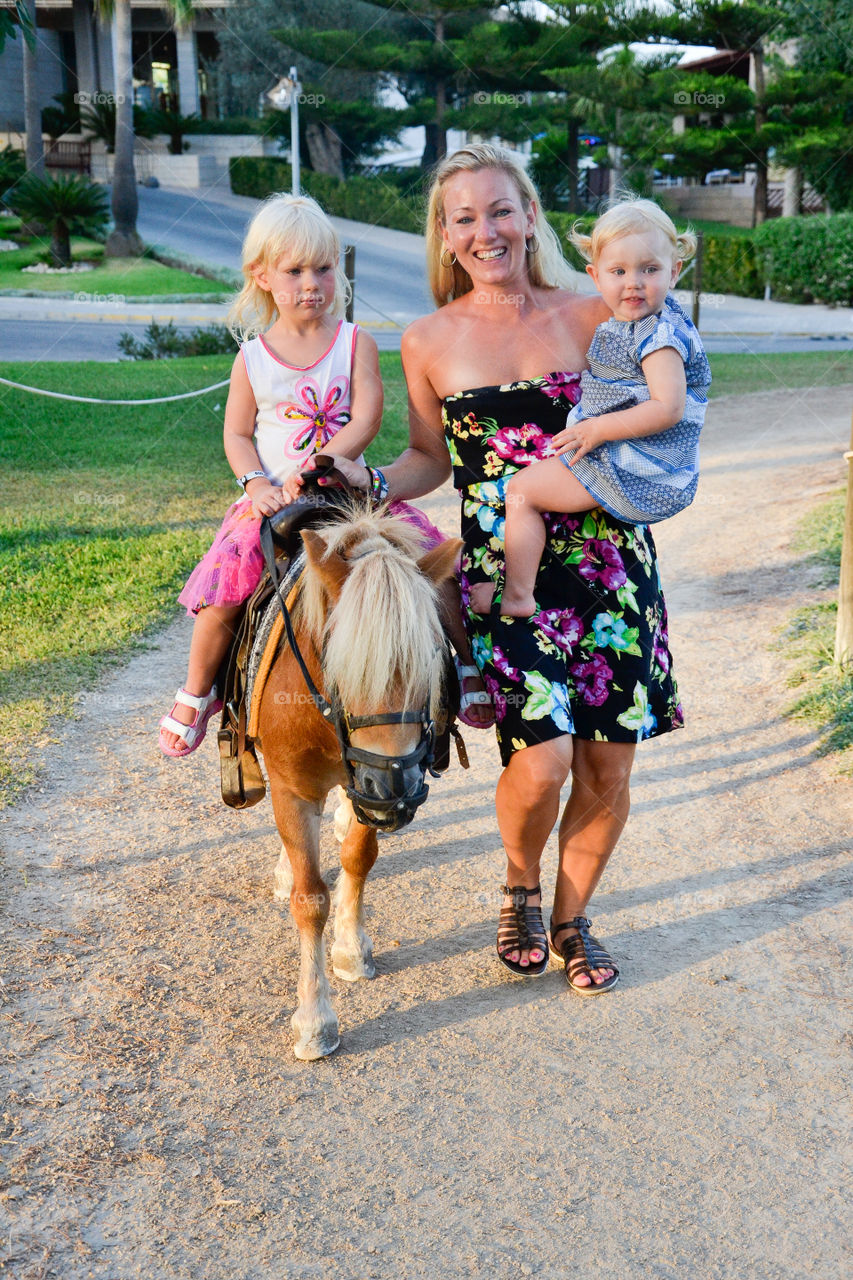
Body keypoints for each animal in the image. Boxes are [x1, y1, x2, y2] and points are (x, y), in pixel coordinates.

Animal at [253, 501, 458, 1059]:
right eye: (340, 658)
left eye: (433, 654)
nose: (397, 793)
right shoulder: (296, 789)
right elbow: (310, 899)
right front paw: (314, 1018)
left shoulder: (367, 785)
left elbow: (357, 858)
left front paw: (349, 948)